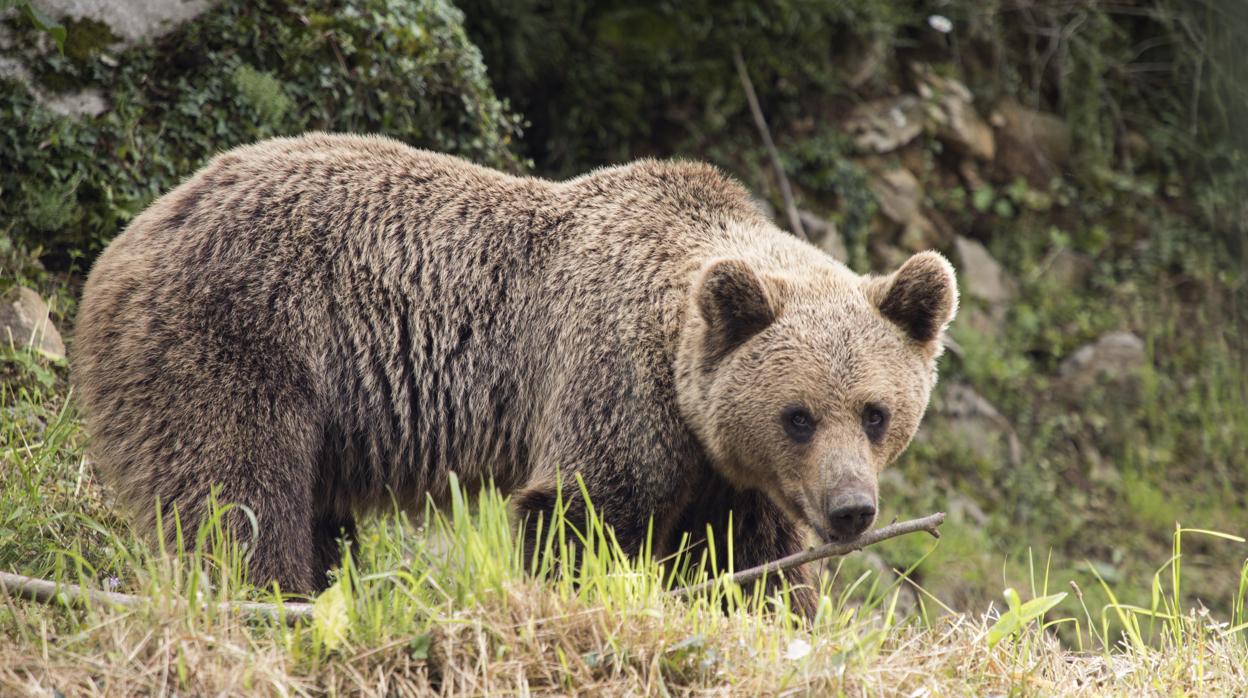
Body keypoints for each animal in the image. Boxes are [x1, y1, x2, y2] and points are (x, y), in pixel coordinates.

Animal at [75, 132, 953, 611]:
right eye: (798, 415)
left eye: (875, 413)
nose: (850, 509)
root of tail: (131, 236)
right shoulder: (613, 380)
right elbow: (579, 512)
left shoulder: (729, 474)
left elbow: (749, 563)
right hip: (241, 340)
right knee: (237, 496)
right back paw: (270, 595)